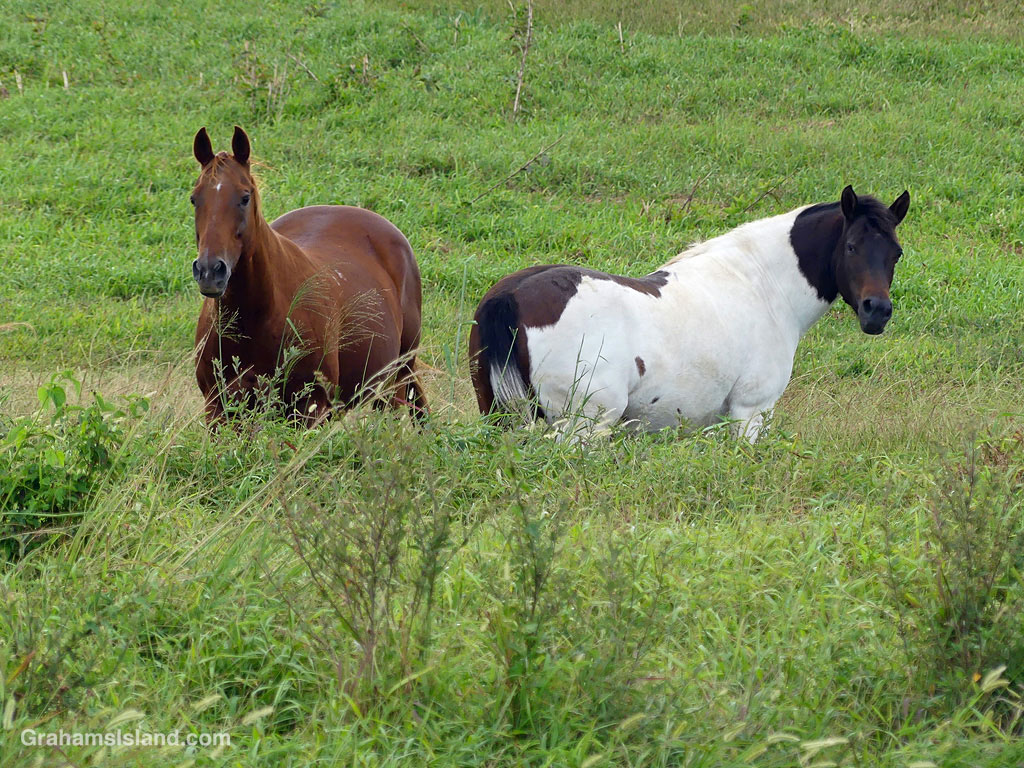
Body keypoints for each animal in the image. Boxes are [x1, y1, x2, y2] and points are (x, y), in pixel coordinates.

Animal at [190, 126, 426, 424]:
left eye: (244, 198)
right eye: (195, 199)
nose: (210, 271)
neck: (258, 316)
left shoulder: (309, 408)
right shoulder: (218, 408)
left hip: (399, 375)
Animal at [469, 185, 910, 442]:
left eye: (896, 253)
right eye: (851, 246)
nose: (877, 311)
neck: (761, 282)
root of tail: (510, 294)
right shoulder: (751, 413)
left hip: (499, 417)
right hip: (584, 429)